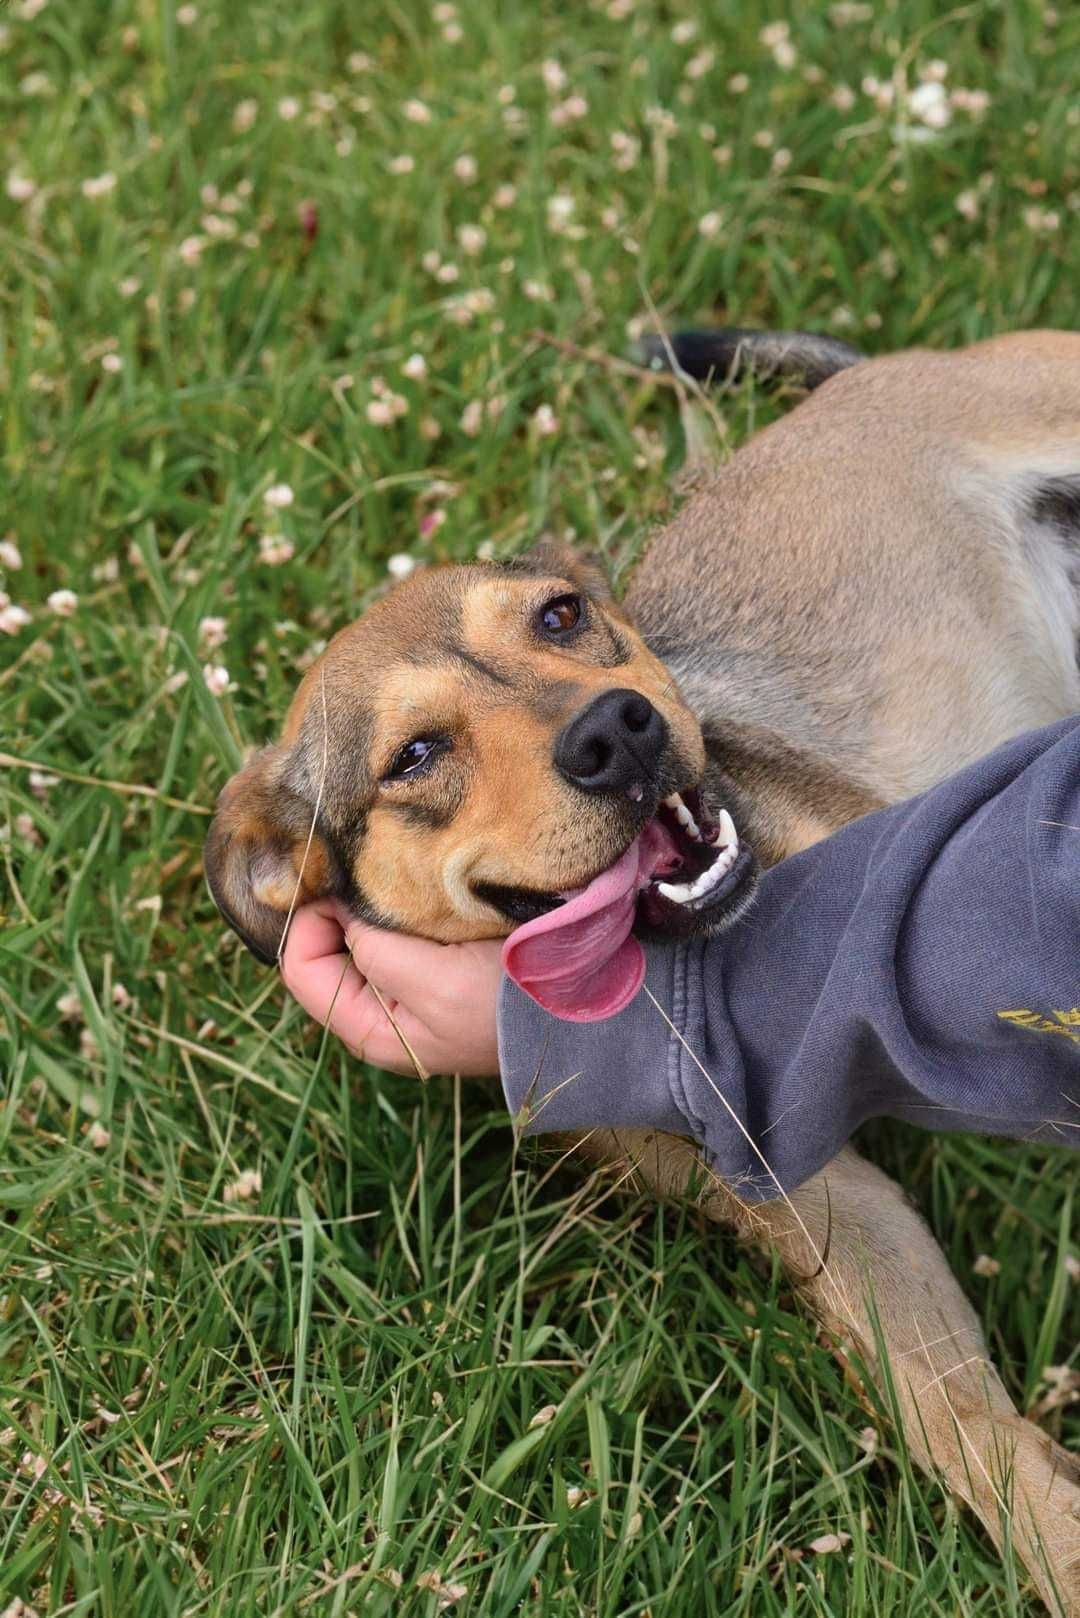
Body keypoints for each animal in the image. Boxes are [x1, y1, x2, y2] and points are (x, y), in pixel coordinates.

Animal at [207, 325, 1080, 1605]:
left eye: (562, 615)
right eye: (414, 755)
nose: (616, 729)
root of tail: (869, 376)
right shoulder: (821, 1205)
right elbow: (959, 1424)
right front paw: (1059, 1539)